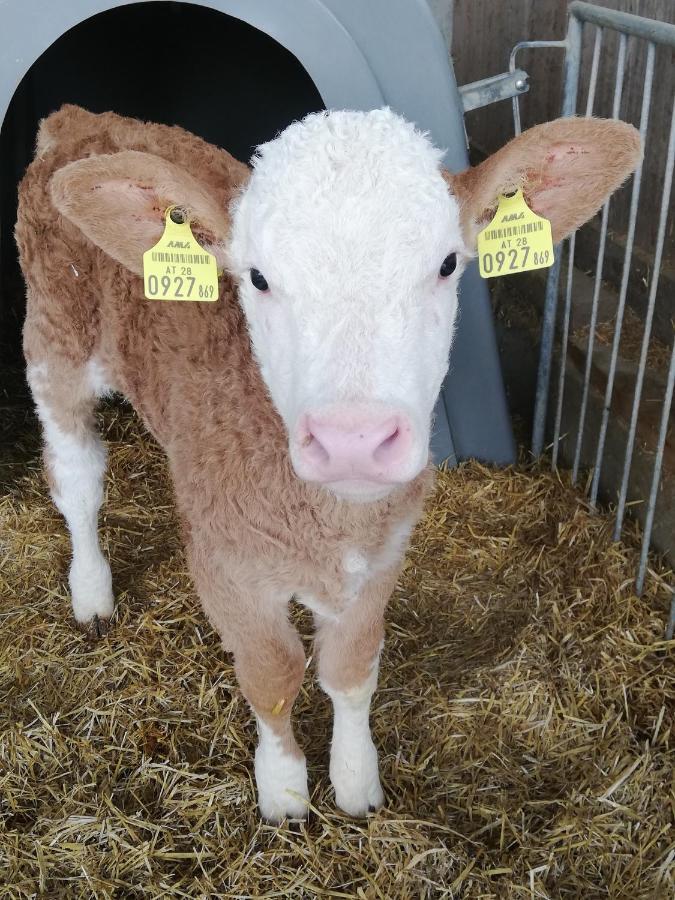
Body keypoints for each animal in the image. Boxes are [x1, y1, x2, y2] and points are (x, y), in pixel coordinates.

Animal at [14, 105, 640, 824]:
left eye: (447, 264)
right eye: (257, 277)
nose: (354, 439)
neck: (329, 522)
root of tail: (79, 120)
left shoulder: (383, 556)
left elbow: (350, 667)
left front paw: (356, 781)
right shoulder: (226, 566)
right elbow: (272, 673)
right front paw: (283, 791)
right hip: (54, 345)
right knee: (78, 481)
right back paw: (91, 594)